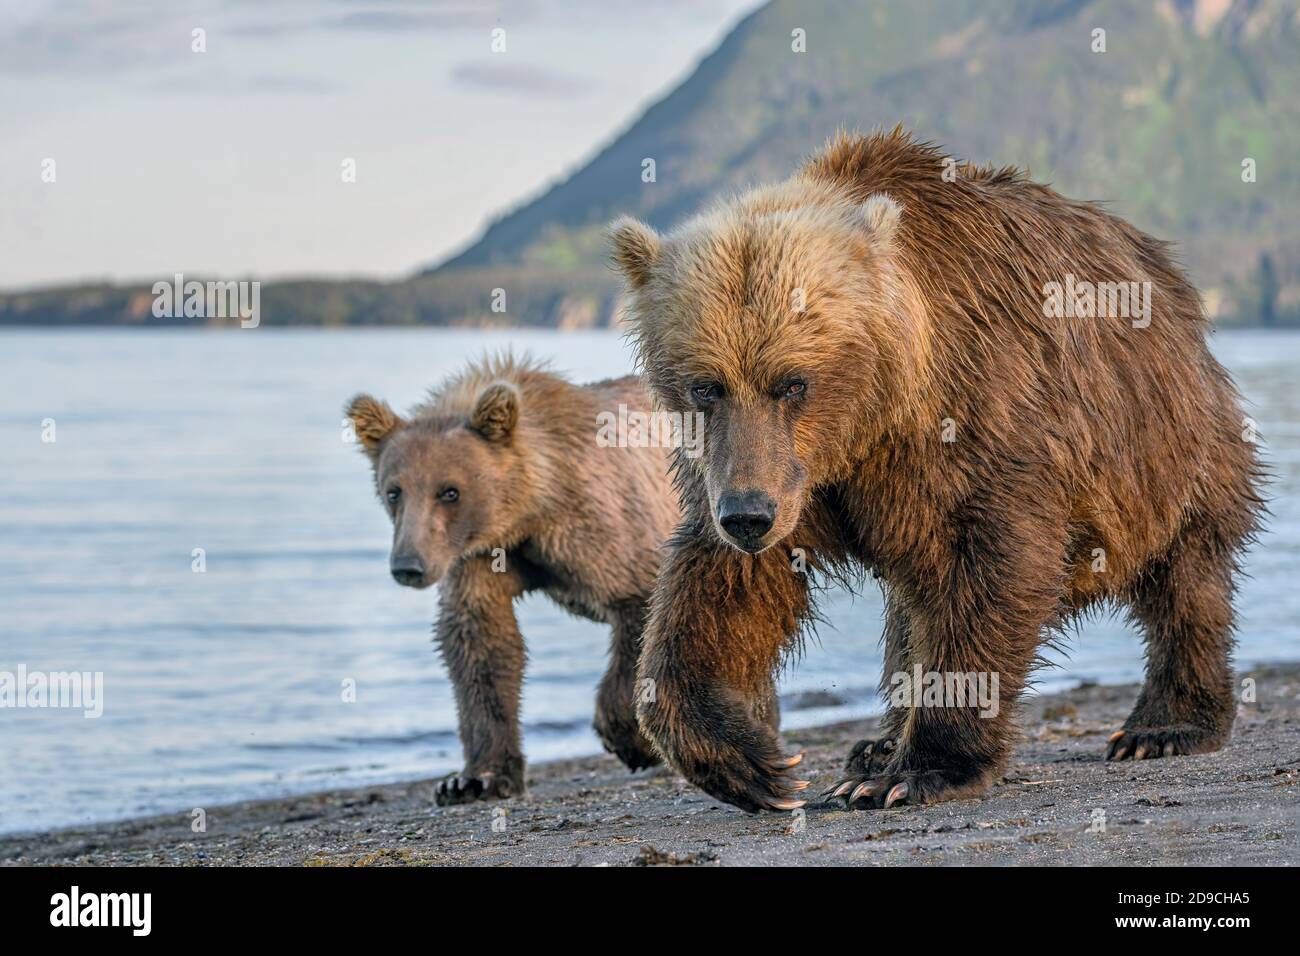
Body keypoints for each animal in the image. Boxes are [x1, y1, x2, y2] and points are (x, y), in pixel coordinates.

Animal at [613, 128, 1263, 816]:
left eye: (792, 382)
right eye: (705, 386)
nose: (747, 515)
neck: (869, 423)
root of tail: (1167, 275)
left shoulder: (977, 413)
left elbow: (991, 567)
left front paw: (922, 768)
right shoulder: (777, 478)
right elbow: (724, 589)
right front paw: (755, 764)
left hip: (1166, 447)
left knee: (1185, 580)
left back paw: (1164, 726)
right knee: (910, 608)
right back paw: (875, 743)